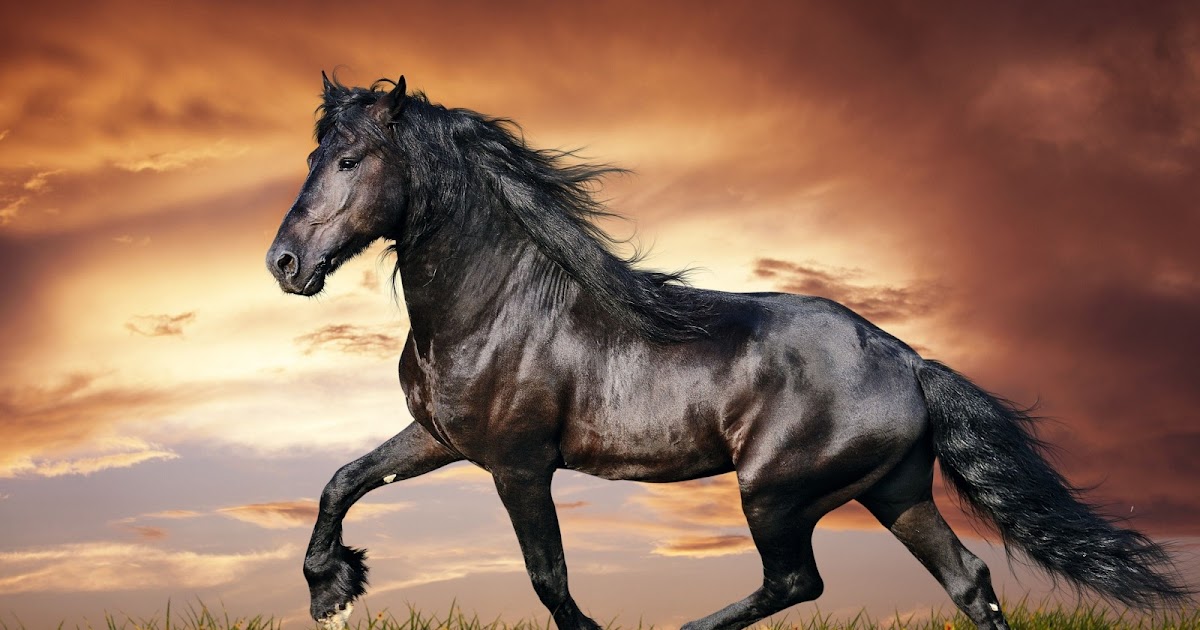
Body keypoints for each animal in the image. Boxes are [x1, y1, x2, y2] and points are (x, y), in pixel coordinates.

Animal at [265, 74, 1189, 630]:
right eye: (313, 154)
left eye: (350, 159)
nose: (284, 264)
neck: (496, 306)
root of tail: (908, 361)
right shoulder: (442, 440)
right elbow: (342, 480)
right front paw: (332, 586)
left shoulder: (519, 465)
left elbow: (548, 578)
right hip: (894, 491)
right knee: (966, 580)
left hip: (775, 491)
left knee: (798, 582)